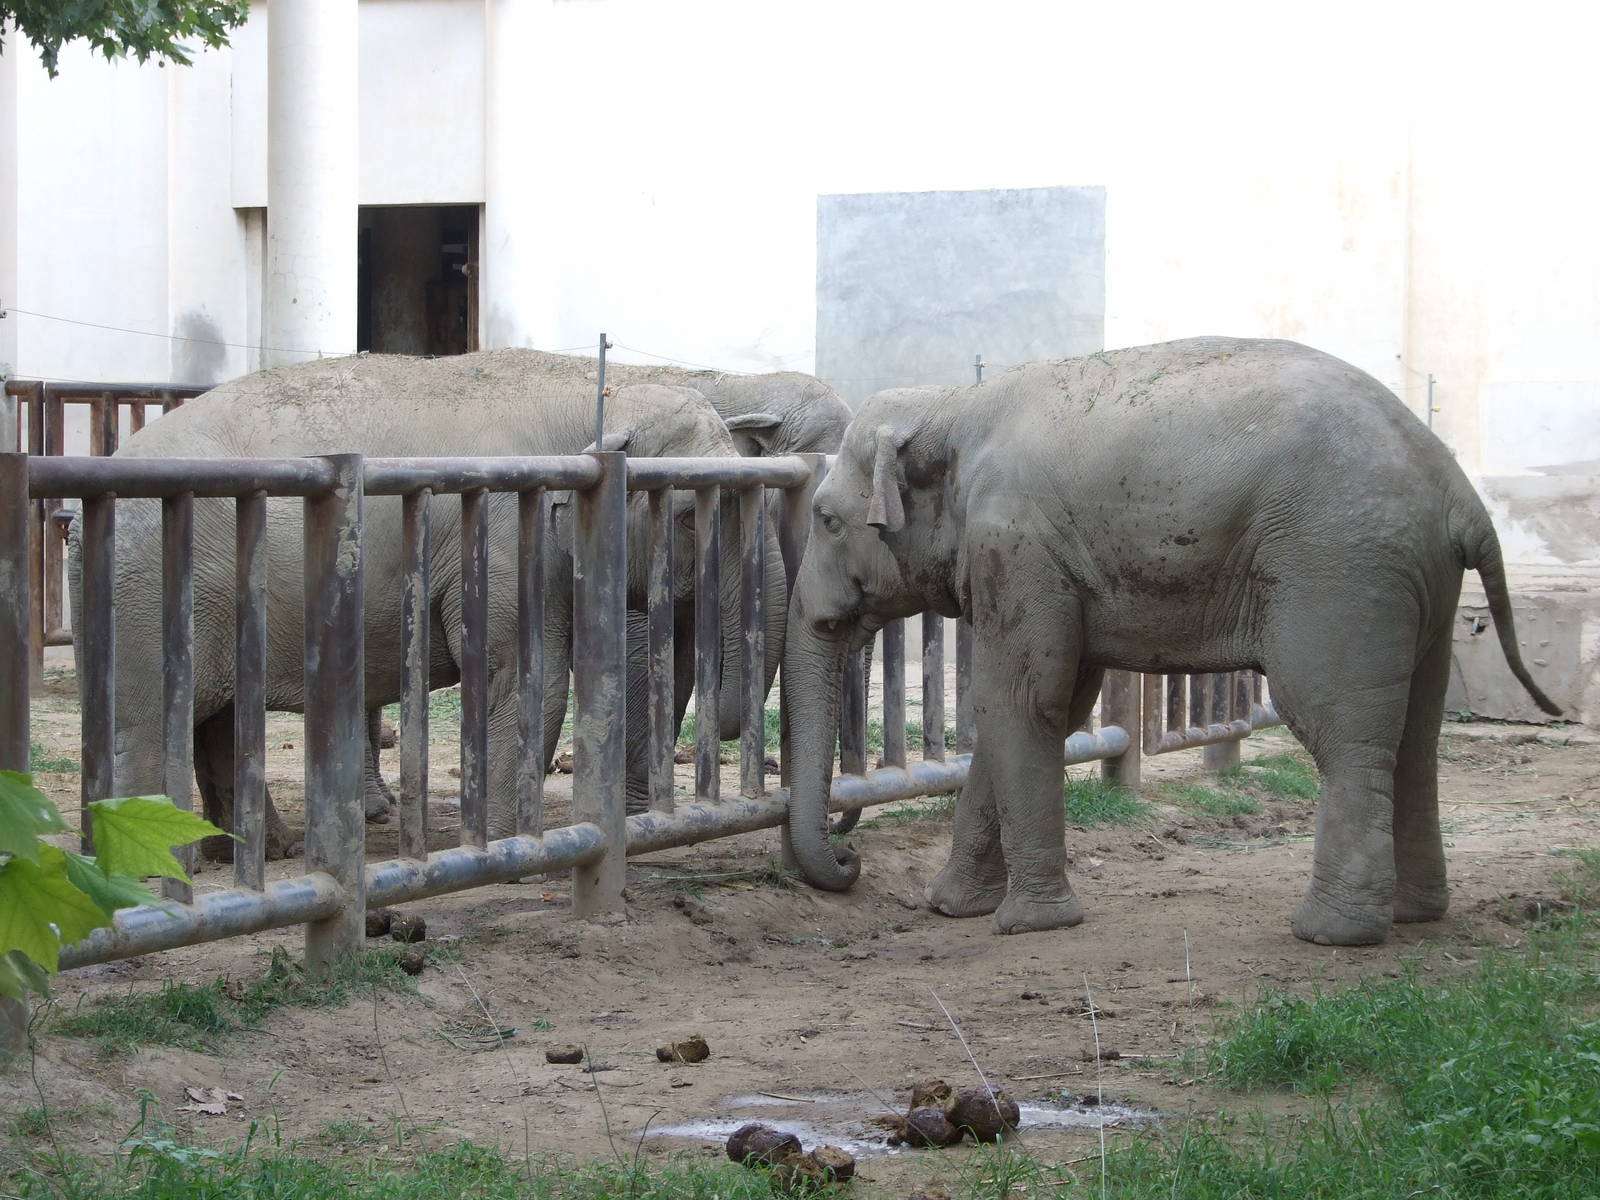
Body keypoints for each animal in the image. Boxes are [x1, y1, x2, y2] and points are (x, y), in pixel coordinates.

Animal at [72, 355, 789, 854]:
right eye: (691, 517)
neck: (595, 395)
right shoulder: (503, 535)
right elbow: (524, 682)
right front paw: (506, 845)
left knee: (210, 723)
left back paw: (264, 852)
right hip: (148, 585)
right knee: (147, 722)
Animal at [780, 336, 1559, 947]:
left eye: (824, 519)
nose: (850, 861)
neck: (951, 406)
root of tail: (1460, 495)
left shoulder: (1017, 544)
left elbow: (1020, 703)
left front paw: (1029, 925)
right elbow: (1053, 708)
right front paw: (950, 910)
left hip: (1341, 568)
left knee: (1340, 727)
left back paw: (1333, 933)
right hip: (1420, 583)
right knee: (1418, 733)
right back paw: (1416, 916)